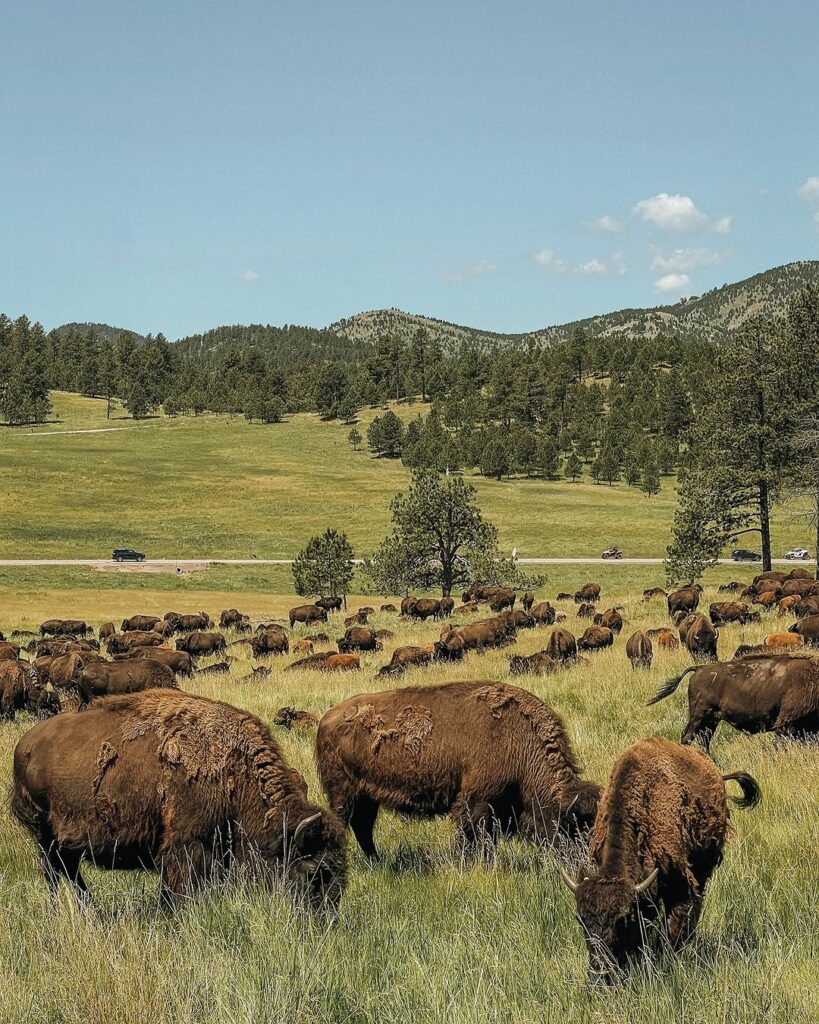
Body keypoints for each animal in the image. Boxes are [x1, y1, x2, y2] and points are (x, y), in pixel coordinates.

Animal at [11, 688, 348, 913]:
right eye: (314, 871)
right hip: (44, 834)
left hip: (62, 841)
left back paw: (88, 911)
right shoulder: (186, 846)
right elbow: (181, 886)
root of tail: (25, 746)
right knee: (56, 872)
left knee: (68, 871)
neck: (234, 773)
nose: (326, 918)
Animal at [315, 684, 601, 860]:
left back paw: (377, 861)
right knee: (346, 823)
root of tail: (327, 718)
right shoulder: (477, 800)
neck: (519, 738)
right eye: (570, 825)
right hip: (344, 793)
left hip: (367, 796)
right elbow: (474, 837)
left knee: (363, 827)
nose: (582, 862)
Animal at [565, 737, 761, 983]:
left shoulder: (678, 884)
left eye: (622, 919)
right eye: (580, 919)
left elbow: (677, 918)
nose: (601, 973)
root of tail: (713, 770)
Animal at [647, 651, 818, 749]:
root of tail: (700, 668)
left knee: (703, 740)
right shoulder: (785, 723)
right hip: (699, 716)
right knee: (688, 736)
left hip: (711, 720)